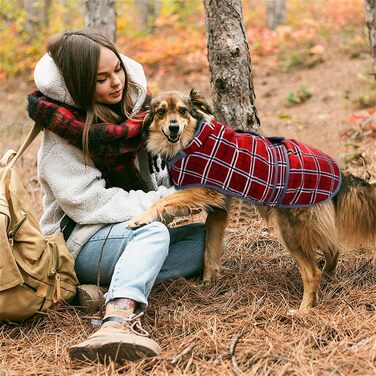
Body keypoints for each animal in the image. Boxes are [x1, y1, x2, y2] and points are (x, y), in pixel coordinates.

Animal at [127, 89, 376, 312]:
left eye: (182, 110)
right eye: (161, 112)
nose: (174, 127)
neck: (192, 140)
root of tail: (340, 173)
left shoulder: (206, 191)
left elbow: (162, 201)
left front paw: (139, 219)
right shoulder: (218, 210)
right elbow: (210, 251)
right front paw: (208, 283)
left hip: (291, 231)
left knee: (312, 272)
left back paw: (304, 309)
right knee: (333, 250)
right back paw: (328, 277)